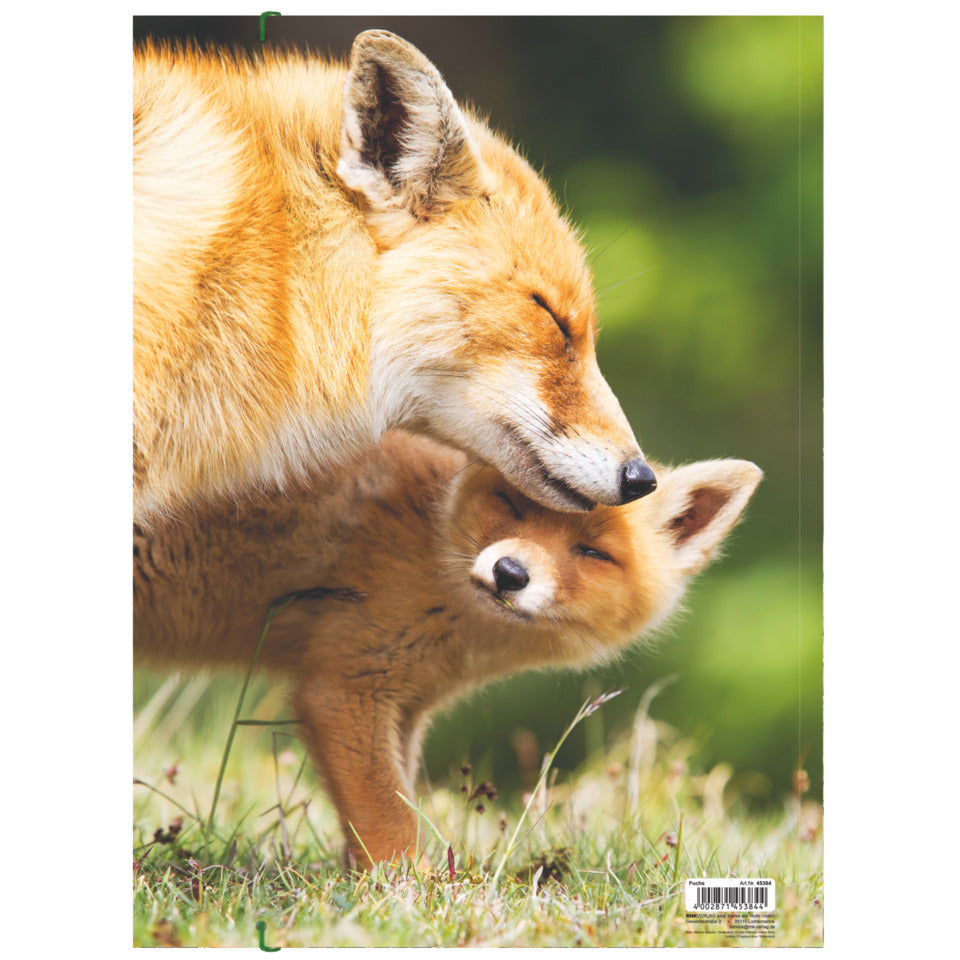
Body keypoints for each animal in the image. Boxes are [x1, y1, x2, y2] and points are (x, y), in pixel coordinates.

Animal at [134, 431, 762, 868]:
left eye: (592, 552)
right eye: (514, 506)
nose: (510, 573)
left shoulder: (407, 704)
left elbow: (396, 798)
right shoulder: (342, 689)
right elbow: (388, 815)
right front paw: (411, 888)